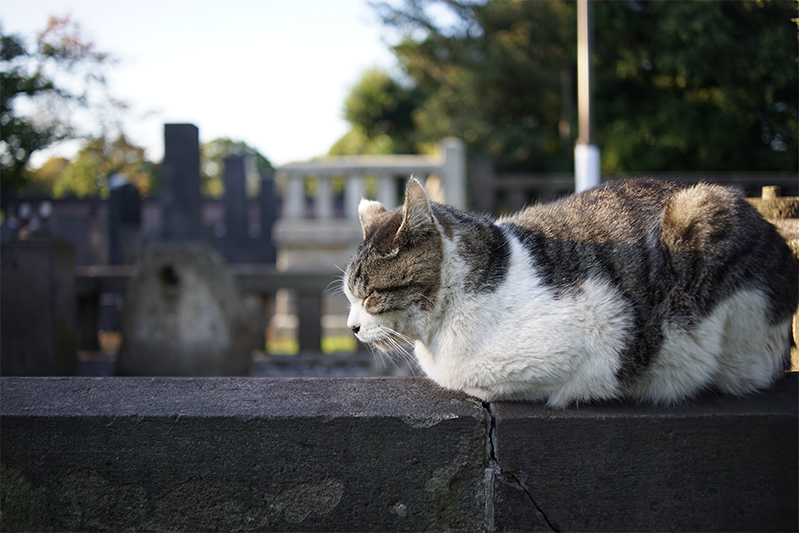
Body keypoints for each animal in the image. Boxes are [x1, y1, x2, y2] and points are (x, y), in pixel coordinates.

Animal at [342, 177, 792, 406]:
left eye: (370, 296)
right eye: (349, 297)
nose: (351, 328)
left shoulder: (592, 336)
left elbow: (480, 383)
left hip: (702, 215)